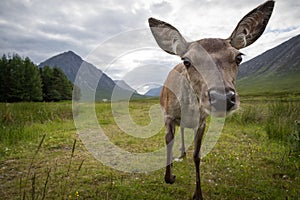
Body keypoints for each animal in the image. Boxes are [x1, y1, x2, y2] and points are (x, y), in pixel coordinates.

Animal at [148, 0, 274, 199]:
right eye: (187, 61)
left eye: (239, 57)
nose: (223, 97)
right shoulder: (168, 115)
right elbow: (168, 143)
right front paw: (170, 176)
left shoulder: (201, 121)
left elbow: (197, 155)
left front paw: (198, 193)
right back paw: (179, 155)